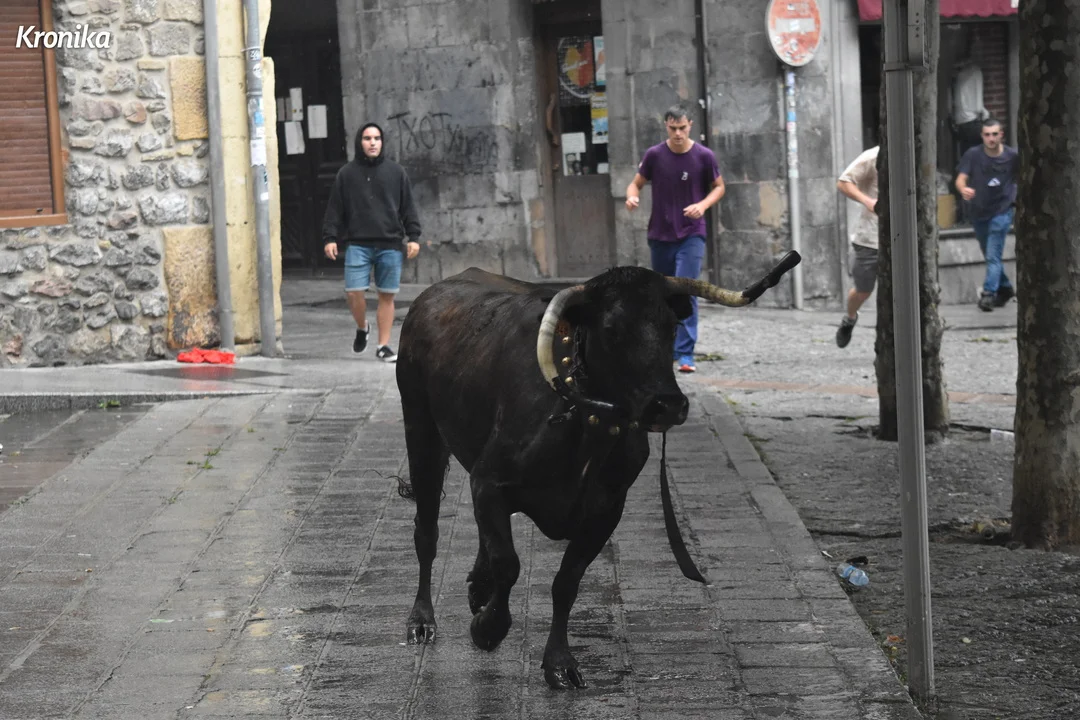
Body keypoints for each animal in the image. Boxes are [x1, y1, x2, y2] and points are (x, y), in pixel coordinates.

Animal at [395, 252, 800, 690]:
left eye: (671, 326)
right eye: (611, 328)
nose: (668, 405)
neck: (583, 421)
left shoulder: (605, 511)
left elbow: (566, 583)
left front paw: (559, 662)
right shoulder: (489, 481)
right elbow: (508, 563)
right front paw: (488, 629)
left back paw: (476, 588)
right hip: (421, 431)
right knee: (427, 533)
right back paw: (422, 620)